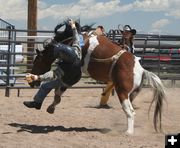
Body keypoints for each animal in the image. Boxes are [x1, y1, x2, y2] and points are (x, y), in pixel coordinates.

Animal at [29, 19, 166, 134]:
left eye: (36, 62)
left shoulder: (74, 71)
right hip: (131, 94)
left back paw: (128, 132)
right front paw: (51, 107)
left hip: (122, 91)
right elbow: (59, 90)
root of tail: (141, 70)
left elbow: (60, 88)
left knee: (130, 112)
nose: (32, 83)